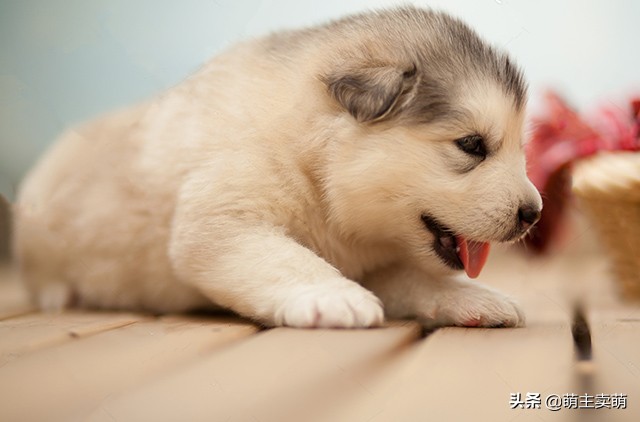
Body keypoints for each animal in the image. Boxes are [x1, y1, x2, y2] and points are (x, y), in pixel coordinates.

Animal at [15, 7, 540, 330]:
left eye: (520, 147)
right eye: (472, 145)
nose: (533, 213)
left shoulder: (373, 261)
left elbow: (421, 278)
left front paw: (474, 299)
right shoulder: (224, 220)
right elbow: (289, 259)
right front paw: (333, 296)